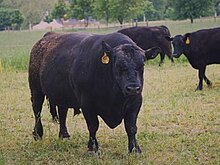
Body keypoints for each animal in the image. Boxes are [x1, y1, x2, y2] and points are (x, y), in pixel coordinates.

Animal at [28, 31, 161, 153]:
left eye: (142, 65)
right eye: (118, 65)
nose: (133, 88)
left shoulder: (135, 102)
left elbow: (131, 127)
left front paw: (134, 149)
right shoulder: (87, 103)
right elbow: (93, 126)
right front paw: (93, 148)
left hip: (62, 94)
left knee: (62, 112)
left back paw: (64, 135)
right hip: (36, 89)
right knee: (37, 110)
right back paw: (38, 133)